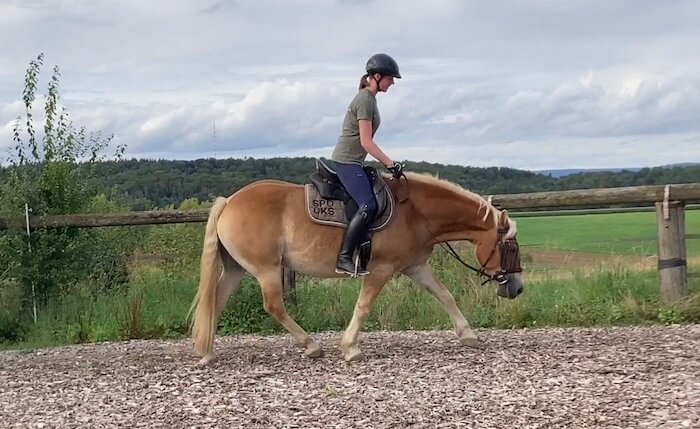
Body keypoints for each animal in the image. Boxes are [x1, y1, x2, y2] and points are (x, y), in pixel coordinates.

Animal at [189, 165, 524, 365]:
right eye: (509, 247)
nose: (517, 289)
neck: (416, 212)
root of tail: (229, 201)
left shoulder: (416, 266)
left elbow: (444, 295)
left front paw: (468, 335)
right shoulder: (381, 269)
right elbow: (363, 306)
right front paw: (350, 347)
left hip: (236, 269)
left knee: (216, 300)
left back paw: (207, 352)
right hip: (266, 269)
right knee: (274, 305)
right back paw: (311, 345)